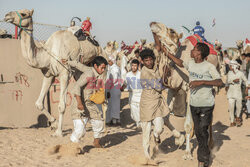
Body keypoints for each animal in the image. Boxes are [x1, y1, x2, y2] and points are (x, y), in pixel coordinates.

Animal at [149, 21, 218, 160]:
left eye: (172, 31)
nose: (153, 23)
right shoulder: (173, 89)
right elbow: (165, 117)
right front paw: (179, 139)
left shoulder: (189, 89)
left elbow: (187, 124)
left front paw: (187, 153)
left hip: (212, 88)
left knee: (210, 116)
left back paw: (210, 144)